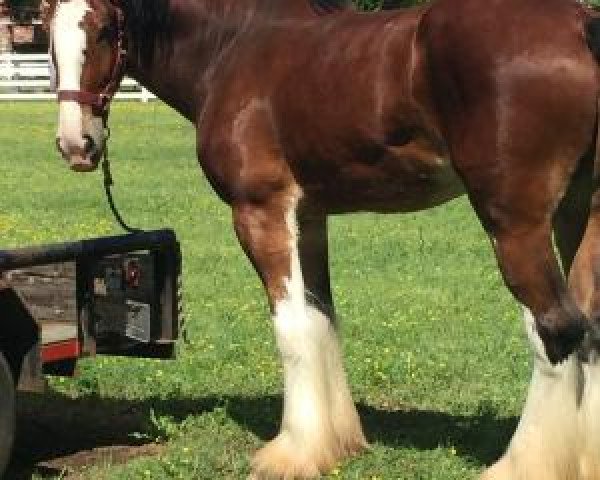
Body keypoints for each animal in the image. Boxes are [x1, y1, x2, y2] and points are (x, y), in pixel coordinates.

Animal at [43, 0, 600, 478]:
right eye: (48, 32)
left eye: (104, 29)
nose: (76, 144)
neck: (233, 45)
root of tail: (579, 25)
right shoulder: (309, 218)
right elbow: (321, 318)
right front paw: (335, 443)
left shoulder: (261, 212)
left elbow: (291, 329)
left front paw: (291, 453)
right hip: (578, 215)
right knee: (590, 329)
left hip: (515, 224)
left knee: (556, 332)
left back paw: (522, 465)